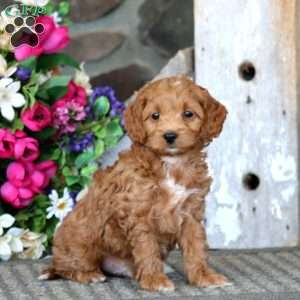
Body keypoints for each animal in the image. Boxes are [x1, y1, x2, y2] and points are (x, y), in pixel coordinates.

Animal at [41, 76, 229, 292]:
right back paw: (89, 274)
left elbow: (196, 248)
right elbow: (148, 249)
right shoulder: (140, 214)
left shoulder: (191, 212)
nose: (170, 135)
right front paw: (155, 280)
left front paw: (205, 276)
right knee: (67, 267)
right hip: (81, 240)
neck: (171, 164)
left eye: (188, 114)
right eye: (155, 116)